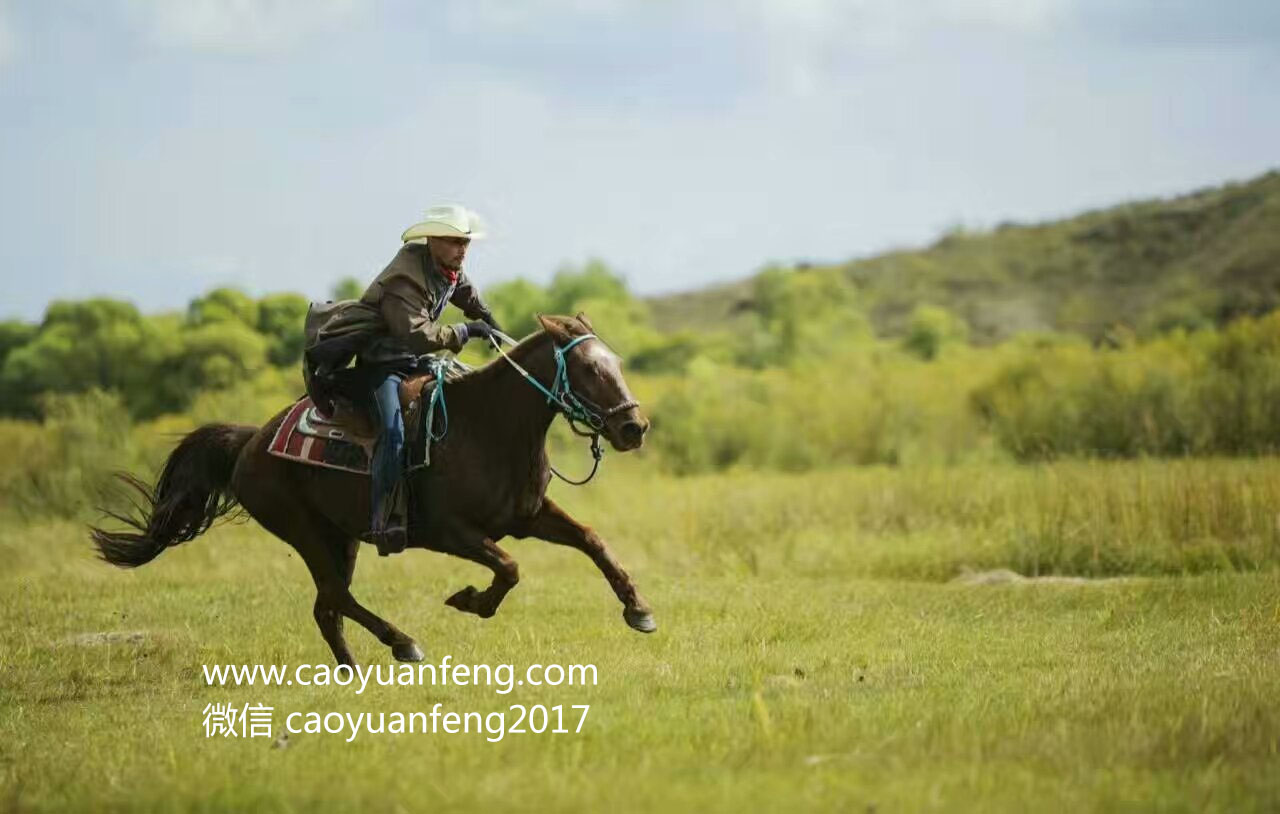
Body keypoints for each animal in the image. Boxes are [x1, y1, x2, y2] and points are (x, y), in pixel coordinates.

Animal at [87, 314, 660, 665]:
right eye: (588, 367)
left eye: (616, 363)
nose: (633, 428)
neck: (489, 426)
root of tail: (250, 441)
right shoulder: (450, 532)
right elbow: (509, 568)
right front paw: (470, 600)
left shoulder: (528, 516)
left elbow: (591, 541)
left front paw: (638, 610)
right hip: (303, 530)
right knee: (335, 596)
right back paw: (403, 643)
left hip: (340, 537)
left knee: (326, 607)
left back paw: (354, 670)